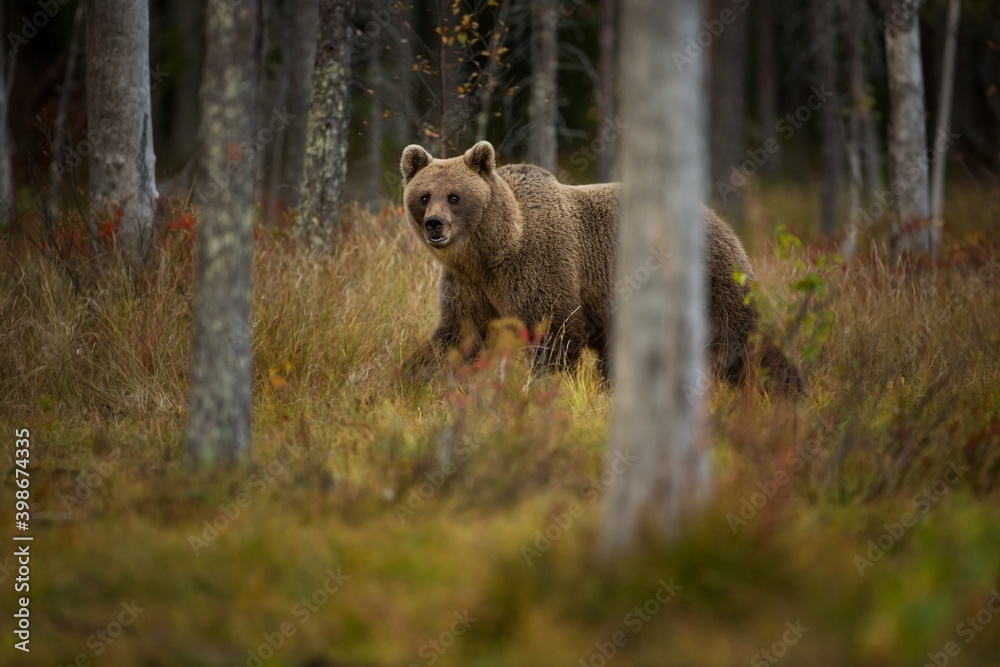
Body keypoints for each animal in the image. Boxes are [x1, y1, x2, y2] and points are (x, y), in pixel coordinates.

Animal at [402, 141, 800, 392]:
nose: (435, 224)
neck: (492, 252)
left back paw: (786, 386)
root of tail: (721, 220)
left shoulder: (541, 268)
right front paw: (414, 377)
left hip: (713, 280)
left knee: (741, 337)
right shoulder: (469, 286)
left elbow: (554, 336)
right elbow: (459, 335)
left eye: (454, 196)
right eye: (424, 196)